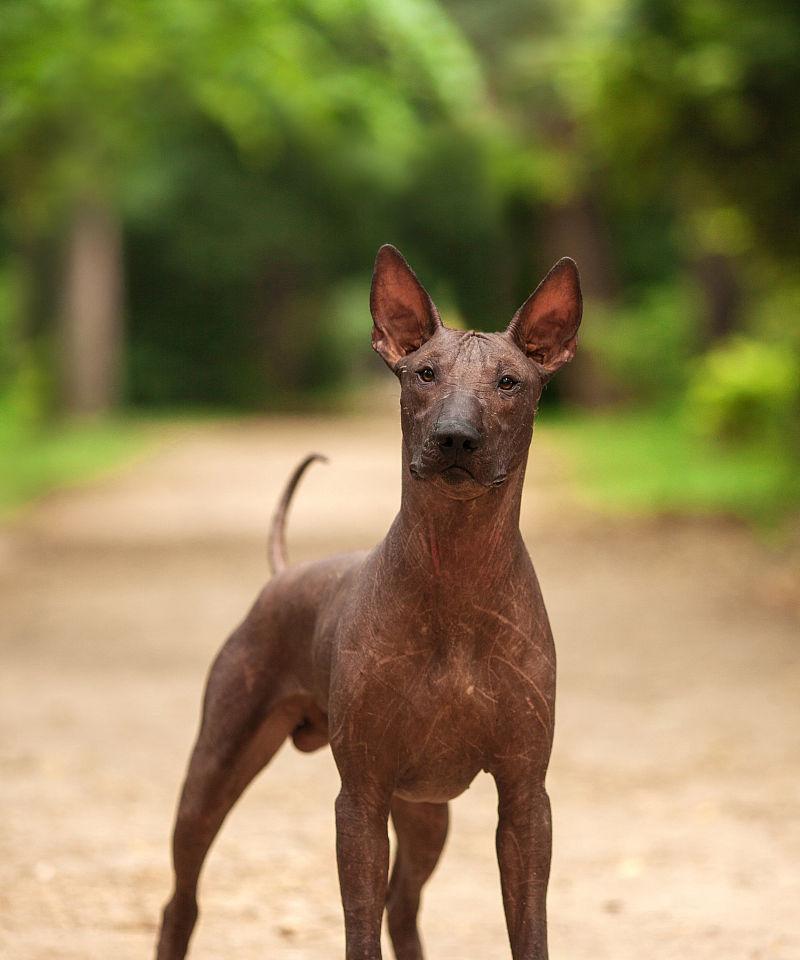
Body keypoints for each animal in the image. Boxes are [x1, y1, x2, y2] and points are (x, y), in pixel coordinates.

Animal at [155, 246, 580, 960]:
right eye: (424, 373)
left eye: (509, 382)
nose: (456, 437)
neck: (456, 575)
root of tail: (284, 575)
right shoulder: (360, 797)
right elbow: (359, 929)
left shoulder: (526, 799)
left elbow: (530, 932)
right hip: (213, 773)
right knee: (180, 899)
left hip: (426, 812)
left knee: (402, 906)